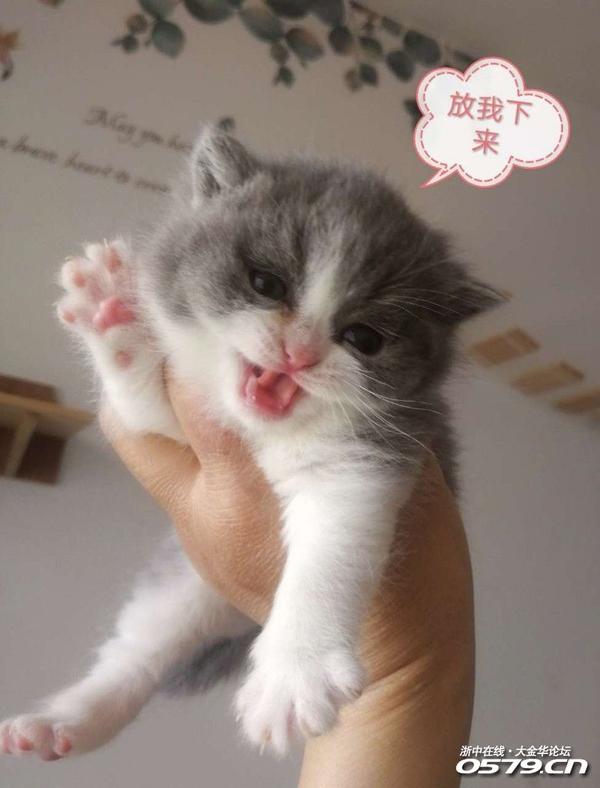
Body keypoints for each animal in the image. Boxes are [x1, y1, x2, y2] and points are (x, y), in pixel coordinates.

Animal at [1, 128, 499, 760]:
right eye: (266, 284)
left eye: (363, 338)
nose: (299, 352)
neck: (267, 431)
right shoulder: (185, 428)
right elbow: (145, 411)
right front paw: (114, 319)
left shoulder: (371, 456)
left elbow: (329, 557)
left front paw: (295, 676)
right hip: (185, 587)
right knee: (137, 658)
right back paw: (67, 721)